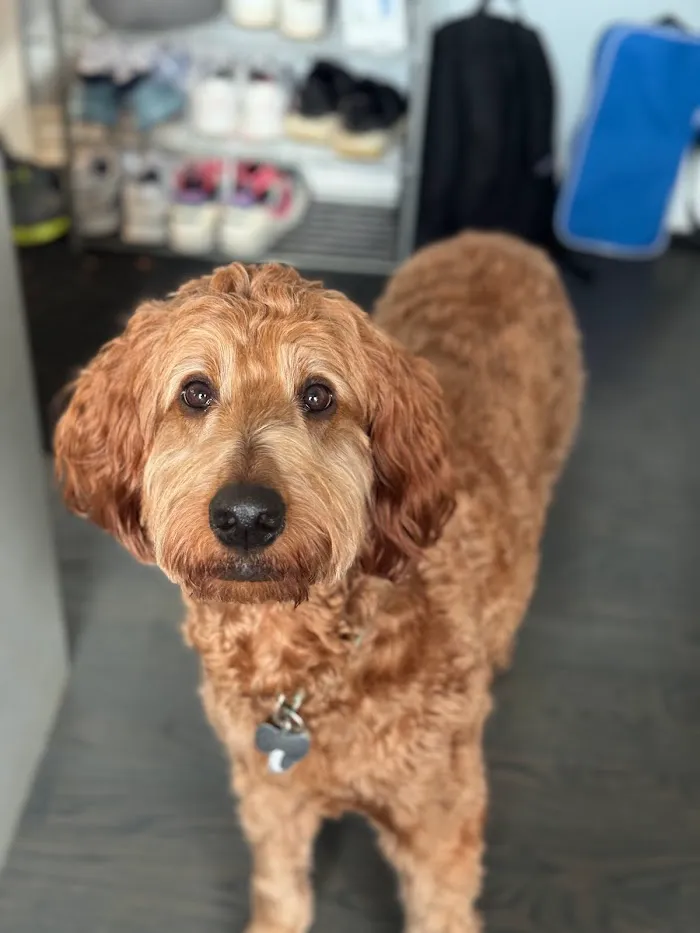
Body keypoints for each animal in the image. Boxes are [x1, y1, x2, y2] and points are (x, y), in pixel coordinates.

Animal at [54, 232, 583, 933]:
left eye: (318, 395)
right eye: (196, 392)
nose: (246, 516)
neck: (306, 664)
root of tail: (497, 238)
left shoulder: (440, 824)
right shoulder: (268, 792)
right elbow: (281, 890)